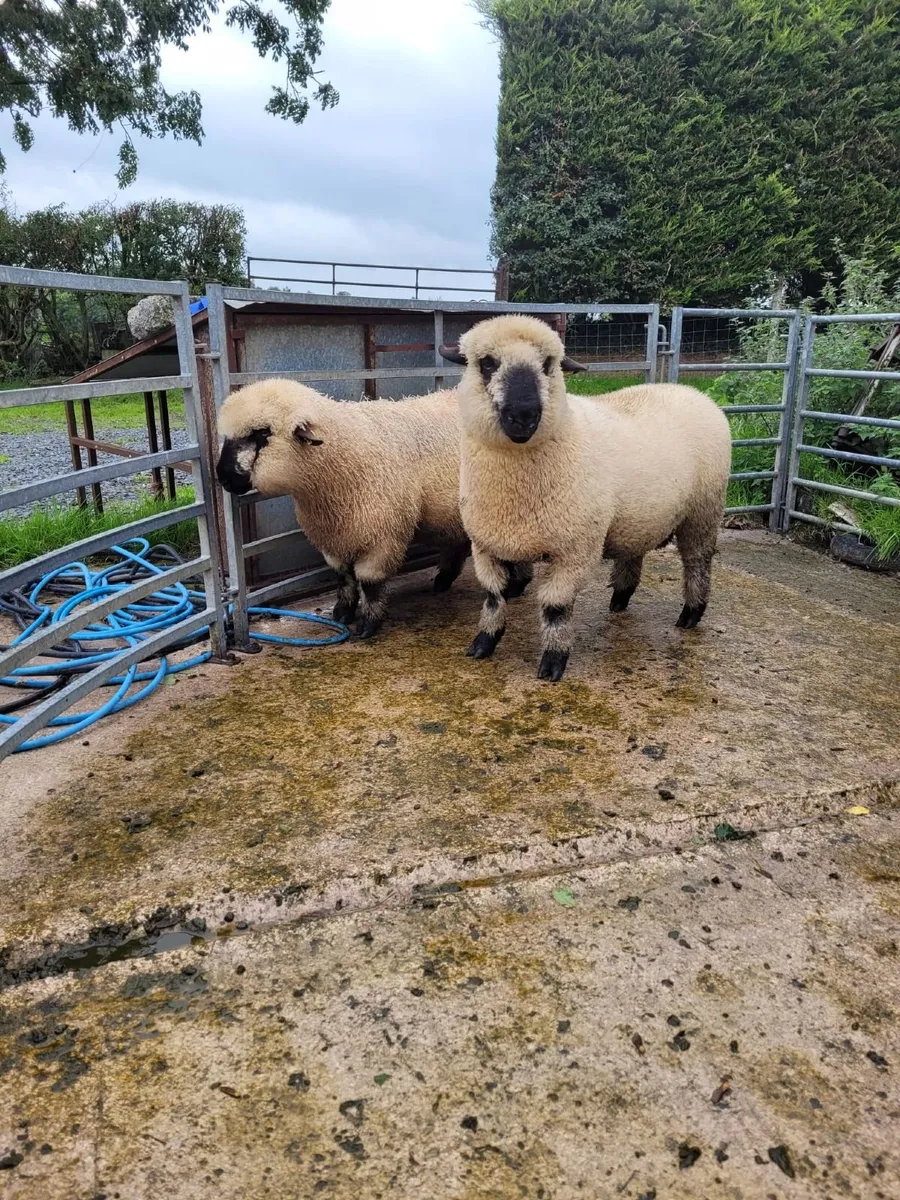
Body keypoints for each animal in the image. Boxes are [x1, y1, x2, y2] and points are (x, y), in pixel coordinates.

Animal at [215, 378, 532, 638]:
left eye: (261, 433)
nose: (223, 476)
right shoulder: (334, 536)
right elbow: (343, 577)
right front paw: (342, 612)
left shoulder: (383, 536)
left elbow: (368, 582)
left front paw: (368, 623)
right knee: (457, 544)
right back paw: (444, 581)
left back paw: (516, 586)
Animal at [440, 314, 732, 682]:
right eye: (487, 364)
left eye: (548, 365)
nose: (524, 414)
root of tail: (693, 392)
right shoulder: (486, 544)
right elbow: (493, 597)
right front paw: (484, 642)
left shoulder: (574, 551)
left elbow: (555, 608)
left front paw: (553, 662)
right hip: (638, 518)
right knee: (634, 552)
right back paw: (620, 599)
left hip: (703, 512)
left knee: (697, 562)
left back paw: (691, 614)